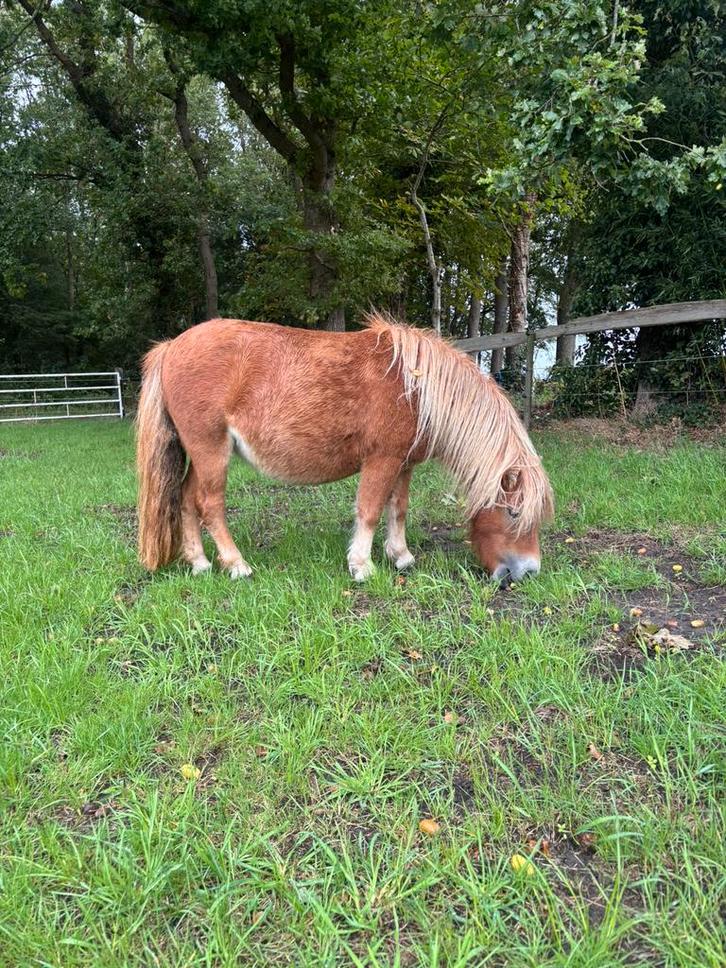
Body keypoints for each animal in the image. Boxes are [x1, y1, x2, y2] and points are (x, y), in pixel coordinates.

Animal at [136, 314, 553, 582]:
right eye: (514, 513)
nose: (529, 571)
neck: (417, 388)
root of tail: (171, 347)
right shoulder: (381, 460)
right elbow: (369, 511)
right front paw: (361, 566)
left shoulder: (403, 464)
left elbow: (398, 509)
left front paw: (400, 557)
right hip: (211, 451)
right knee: (209, 504)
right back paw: (235, 564)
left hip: (201, 455)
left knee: (186, 499)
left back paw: (200, 563)